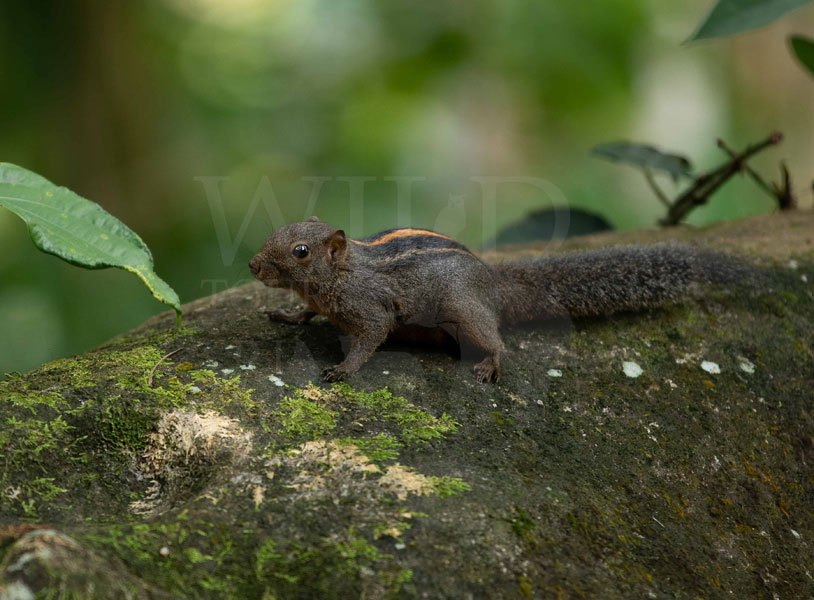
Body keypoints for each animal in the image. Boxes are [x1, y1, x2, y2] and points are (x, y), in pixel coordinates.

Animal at [249, 216, 749, 383]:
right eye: (277, 230)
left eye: (300, 251)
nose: (253, 265)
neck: (340, 274)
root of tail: (493, 282)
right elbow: (305, 313)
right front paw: (287, 315)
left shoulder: (369, 306)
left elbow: (371, 336)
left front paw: (342, 369)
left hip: (465, 311)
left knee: (496, 339)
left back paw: (491, 363)